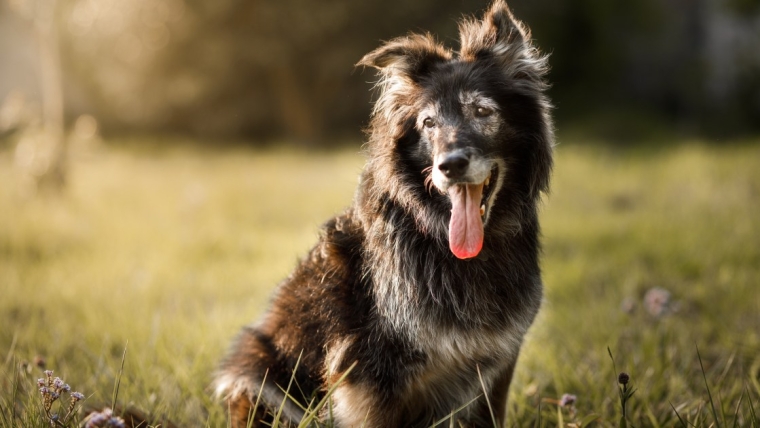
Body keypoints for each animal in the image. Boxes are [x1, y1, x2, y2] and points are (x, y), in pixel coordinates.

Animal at [214, 1, 552, 426]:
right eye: (428, 122)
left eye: (481, 111)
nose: (449, 165)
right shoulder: (370, 372)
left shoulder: (497, 362)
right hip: (255, 369)